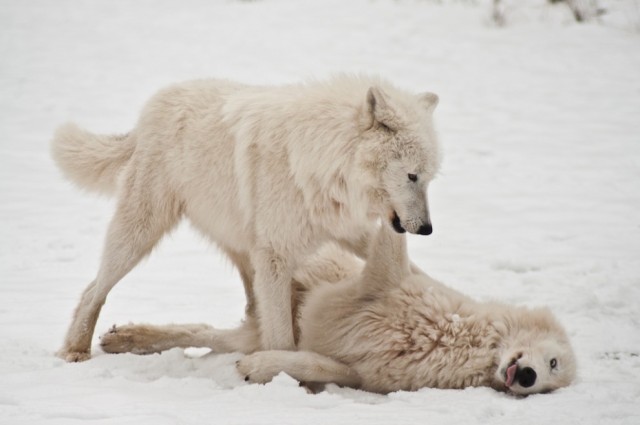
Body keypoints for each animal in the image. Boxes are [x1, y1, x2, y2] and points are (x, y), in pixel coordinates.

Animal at [52, 74, 440, 360]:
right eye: (412, 176)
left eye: (429, 178)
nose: (426, 229)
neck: (318, 162)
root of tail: (151, 109)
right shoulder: (275, 255)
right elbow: (281, 336)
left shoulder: (349, 233)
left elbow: (412, 271)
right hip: (140, 234)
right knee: (92, 290)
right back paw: (75, 349)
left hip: (238, 246)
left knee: (251, 310)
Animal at [102, 225, 576, 394]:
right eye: (553, 361)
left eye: (550, 377)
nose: (528, 377)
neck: (457, 341)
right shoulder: (378, 282)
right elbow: (394, 243)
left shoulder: (359, 374)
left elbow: (307, 364)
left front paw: (258, 369)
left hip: (247, 326)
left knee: (200, 331)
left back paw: (124, 338)